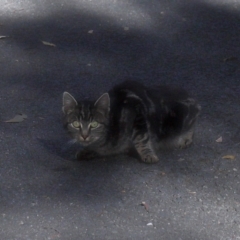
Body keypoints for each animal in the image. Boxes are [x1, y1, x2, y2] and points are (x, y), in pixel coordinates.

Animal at [62, 80, 201, 163]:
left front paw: (148, 154)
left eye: (94, 124)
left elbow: (141, 138)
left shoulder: (137, 112)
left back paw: (186, 138)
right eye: (76, 124)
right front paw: (87, 151)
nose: (84, 135)